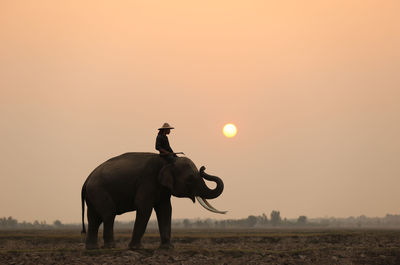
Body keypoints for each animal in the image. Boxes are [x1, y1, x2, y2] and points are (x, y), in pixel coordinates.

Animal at [81, 152, 225, 249]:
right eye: (190, 179)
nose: (203, 168)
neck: (168, 161)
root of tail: (87, 179)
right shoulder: (147, 181)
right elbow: (144, 208)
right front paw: (136, 248)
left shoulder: (163, 189)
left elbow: (165, 210)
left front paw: (167, 248)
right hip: (98, 191)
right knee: (108, 215)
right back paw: (110, 247)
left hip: (93, 194)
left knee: (94, 218)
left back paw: (92, 248)